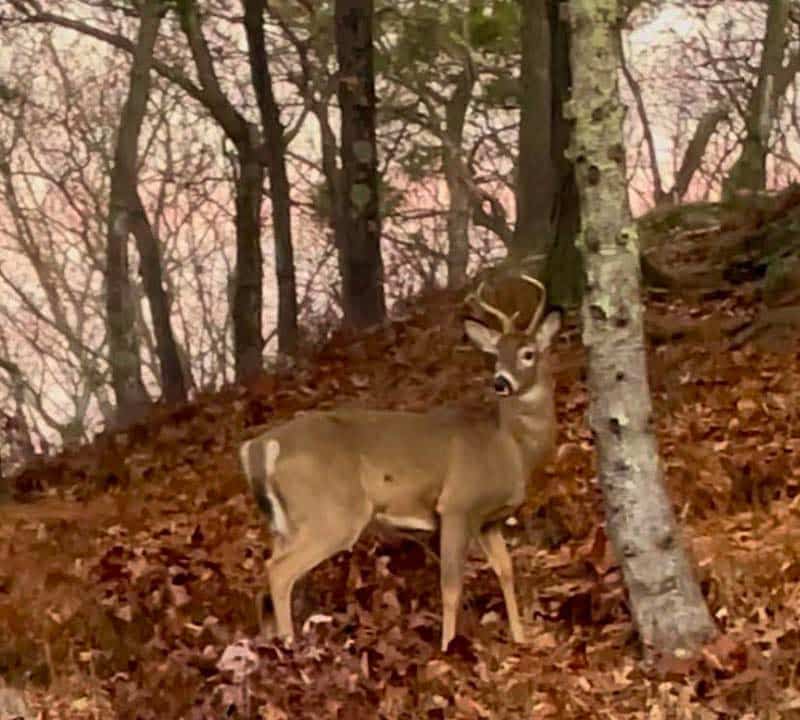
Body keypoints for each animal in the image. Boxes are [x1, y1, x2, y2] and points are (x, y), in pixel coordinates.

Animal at [239, 275, 561, 651]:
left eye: (528, 353)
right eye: (496, 355)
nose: (501, 382)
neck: (509, 446)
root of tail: (259, 446)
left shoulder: (489, 521)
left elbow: (506, 572)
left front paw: (521, 639)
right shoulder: (457, 504)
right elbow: (451, 587)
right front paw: (447, 648)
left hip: (287, 522)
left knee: (269, 571)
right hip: (332, 513)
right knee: (279, 571)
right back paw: (290, 645)